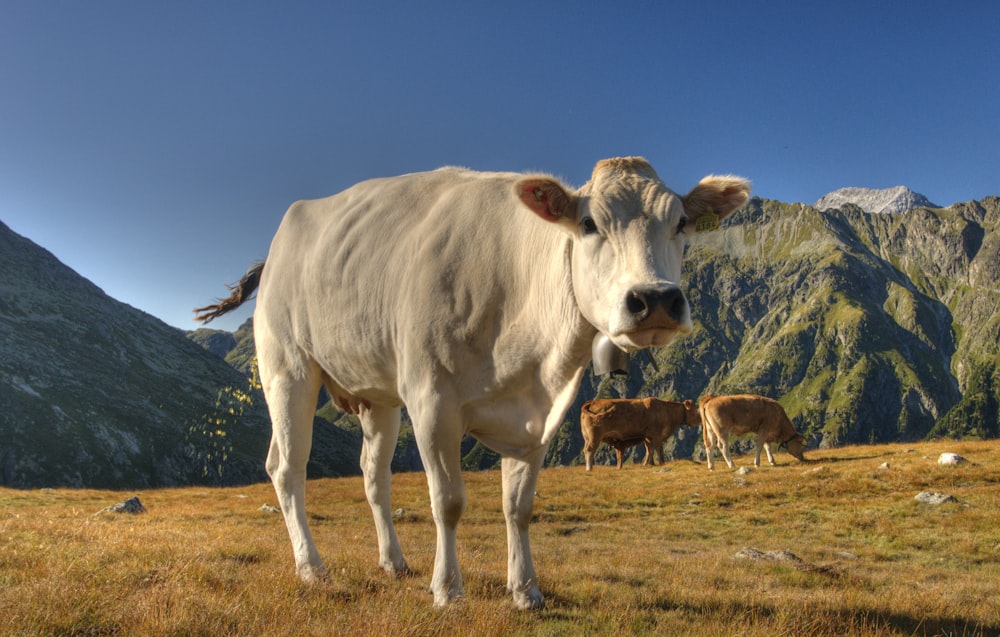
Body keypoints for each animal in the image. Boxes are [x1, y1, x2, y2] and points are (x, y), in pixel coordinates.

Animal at [195, 157, 748, 608]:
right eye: (590, 223)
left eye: (681, 223)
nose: (655, 298)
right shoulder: (432, 402)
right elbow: (449, 502)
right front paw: (448, 590)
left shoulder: (538, 416)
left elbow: (518, 508)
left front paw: (526, 591)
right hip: (287, 367)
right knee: (287, 468)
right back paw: (312, 569)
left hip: (378, 392)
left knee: (374, 476)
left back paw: (393, 562)